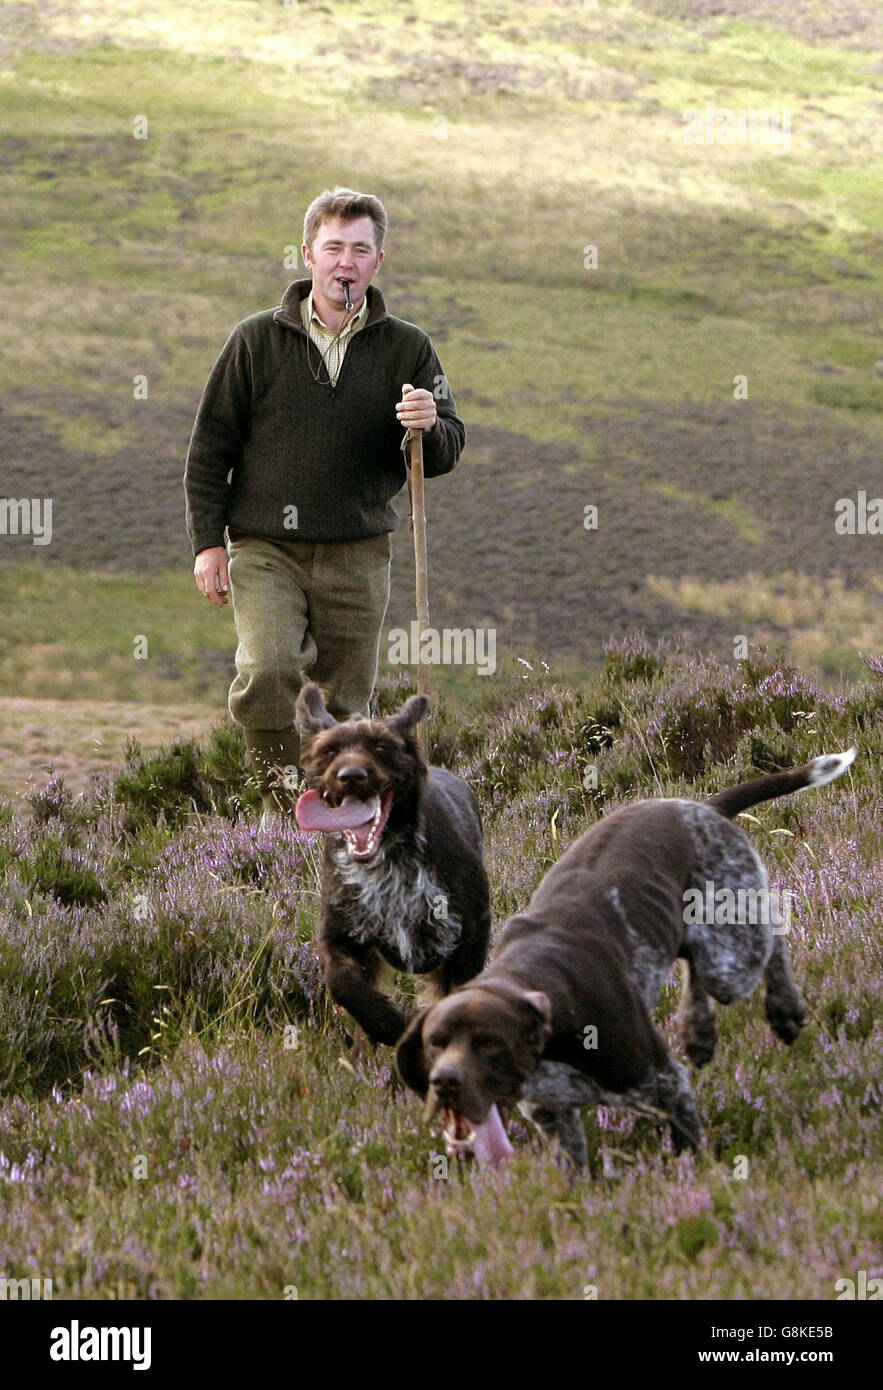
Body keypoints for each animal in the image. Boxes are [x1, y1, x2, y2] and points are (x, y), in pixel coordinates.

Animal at [294, 678, 489, 1045]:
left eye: (381, 747)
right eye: (330, 750)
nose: (351, 775)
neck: (386, 860)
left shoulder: (470, 931)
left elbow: (461, 994)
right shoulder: (340, 934)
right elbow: (343, 984)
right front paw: (390, 1025)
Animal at [397, 750, 856, 1173]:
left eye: (490, 1043)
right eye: (435, 1043)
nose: (445, 1083)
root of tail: (700, 808)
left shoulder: (663, 1085)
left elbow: (687, 1145)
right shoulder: (555, 1118)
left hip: (730, 956)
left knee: (772, 929)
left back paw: (784, 1010)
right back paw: (698, 1031)